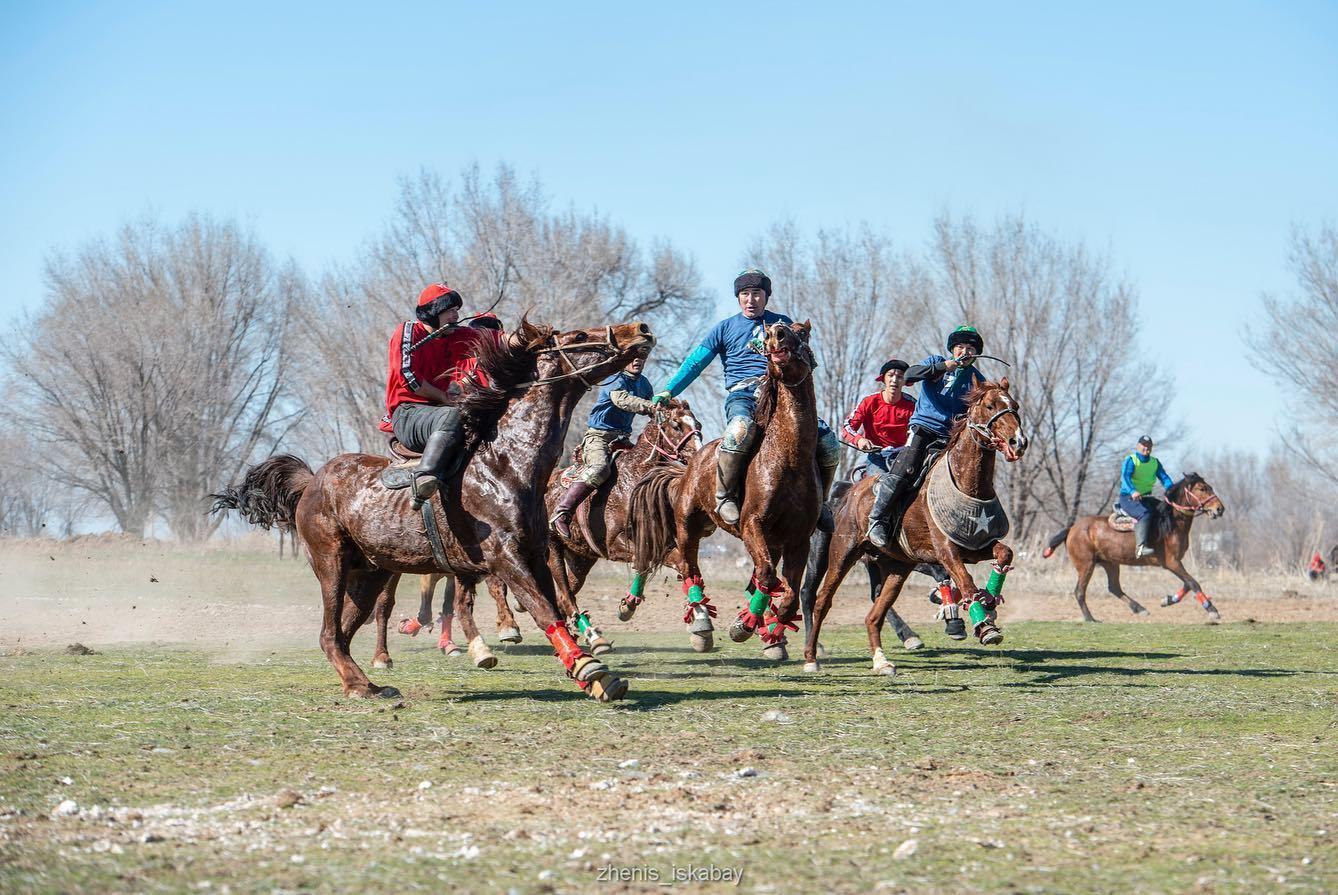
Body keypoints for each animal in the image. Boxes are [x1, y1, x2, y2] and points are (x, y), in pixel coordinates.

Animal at [211, 318, 655, 702]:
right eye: (579, 335)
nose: (641, 329)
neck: (506, 462)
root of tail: (311, 482)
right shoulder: (505, 559)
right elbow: (544, 610)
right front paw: (589, 669)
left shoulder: (535, 555)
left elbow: (557, 605)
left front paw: (594, 672)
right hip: (331, 563)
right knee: (328, 633)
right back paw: (360, 684)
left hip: (370, 573)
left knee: (342, 632)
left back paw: (365, 683)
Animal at [545, 400, 703, 653]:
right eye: (676, 425)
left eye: (697, 424)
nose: (698, 455)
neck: (634, 480)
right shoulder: (614, 544)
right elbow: (652, 561)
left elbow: (671, 563)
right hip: (553, 549)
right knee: (567, 595)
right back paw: (594, 638)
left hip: (581, 559)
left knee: (563, 596)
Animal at [629, 321, 821, 659]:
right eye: (767, 336)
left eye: (801, 331)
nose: (776, 333)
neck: (788, 457)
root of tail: (690, 466)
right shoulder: (751, 524)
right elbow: (768, 576)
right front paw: (743, 626)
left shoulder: (798, 539)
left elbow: (786, 597)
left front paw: (765, 629)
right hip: (688, 528)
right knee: (688, 567)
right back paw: (701, 624)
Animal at [802, 379, 1028, 675]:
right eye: (990, 406)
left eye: (1015, 406)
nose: (1019, 441)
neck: (967, 483)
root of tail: (849, 493)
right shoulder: (946, 552)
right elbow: (965, 583)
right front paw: (984, 625)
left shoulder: (974, 546)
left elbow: (1004, 554)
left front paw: (989, 601)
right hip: (841, 554)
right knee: (820, 601)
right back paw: (811, 657)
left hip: (897, 568)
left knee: (874, 614)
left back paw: (882, 661)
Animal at [1041, 474, 1226, 622]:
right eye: (1202, 488)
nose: (1220, 509)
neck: (1172, 522)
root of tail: (1072, 528)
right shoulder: (1171, 562)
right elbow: (1193, 583)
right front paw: (1212, 610)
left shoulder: (1176, 563)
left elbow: (1188, 583)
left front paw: (1167, 600)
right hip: (1086, 565)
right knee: (1079, 591)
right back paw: (1090, 618)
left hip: (1110, 563)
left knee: (1114, 588)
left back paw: (1140, 609)